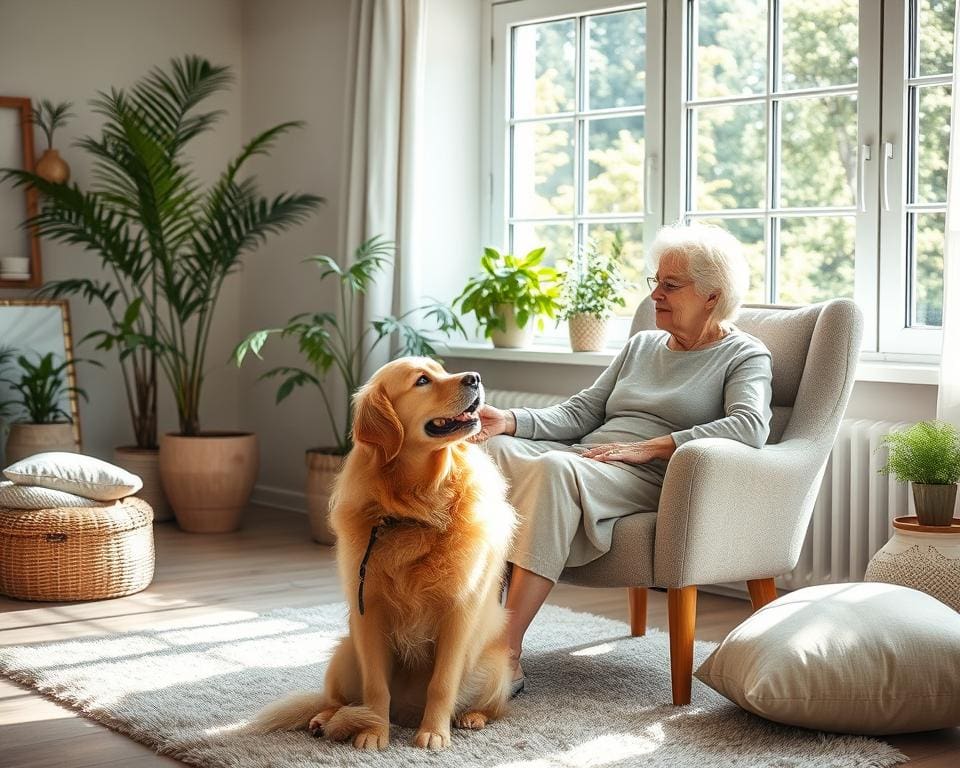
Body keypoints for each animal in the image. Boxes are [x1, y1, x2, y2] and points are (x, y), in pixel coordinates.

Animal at [249, 358, 516, 752]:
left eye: (442, 369)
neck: (415, 508)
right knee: (336, 700)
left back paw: (472, 717)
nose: (475, 378)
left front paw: (434, 732)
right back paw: (324, 719)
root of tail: (406, 711)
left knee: (491, 706)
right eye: (422, 381)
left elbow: (442, 684)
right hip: (346, 654)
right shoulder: (369, 612)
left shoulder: (458, 613)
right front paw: (374, 730)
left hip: (495, 669)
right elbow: (376, 688)